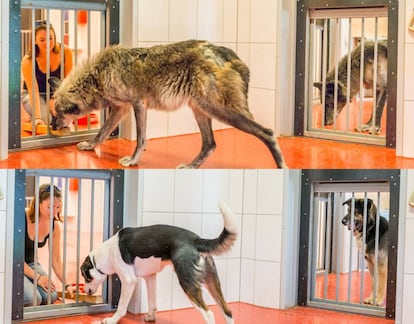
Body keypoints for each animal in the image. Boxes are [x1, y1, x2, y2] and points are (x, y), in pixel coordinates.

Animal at [48, 39, 286, 168]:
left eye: (57, 114)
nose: (52, 127)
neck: (97, 75)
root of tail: (227, 53)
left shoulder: (138, 105)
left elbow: (140, 139)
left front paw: (133, 161)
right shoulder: (121, 109)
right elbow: (102, 133)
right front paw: (90, 146)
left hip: (220, 111)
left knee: (267, 133)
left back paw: (282, 166)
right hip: (200, 110)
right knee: (210, 144)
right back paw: (190, 167)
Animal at [80, 202, 236, 324]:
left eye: (86, 277)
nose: (85, 291)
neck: (107, 253)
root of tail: (197, 240)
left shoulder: (129, 281)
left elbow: (121, 306)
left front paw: (112, 320)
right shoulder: (150, 277)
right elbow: (151, 302)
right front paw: (150, 317)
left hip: (188, 283)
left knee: (209, 314)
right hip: (212, 281)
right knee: (227, 311)